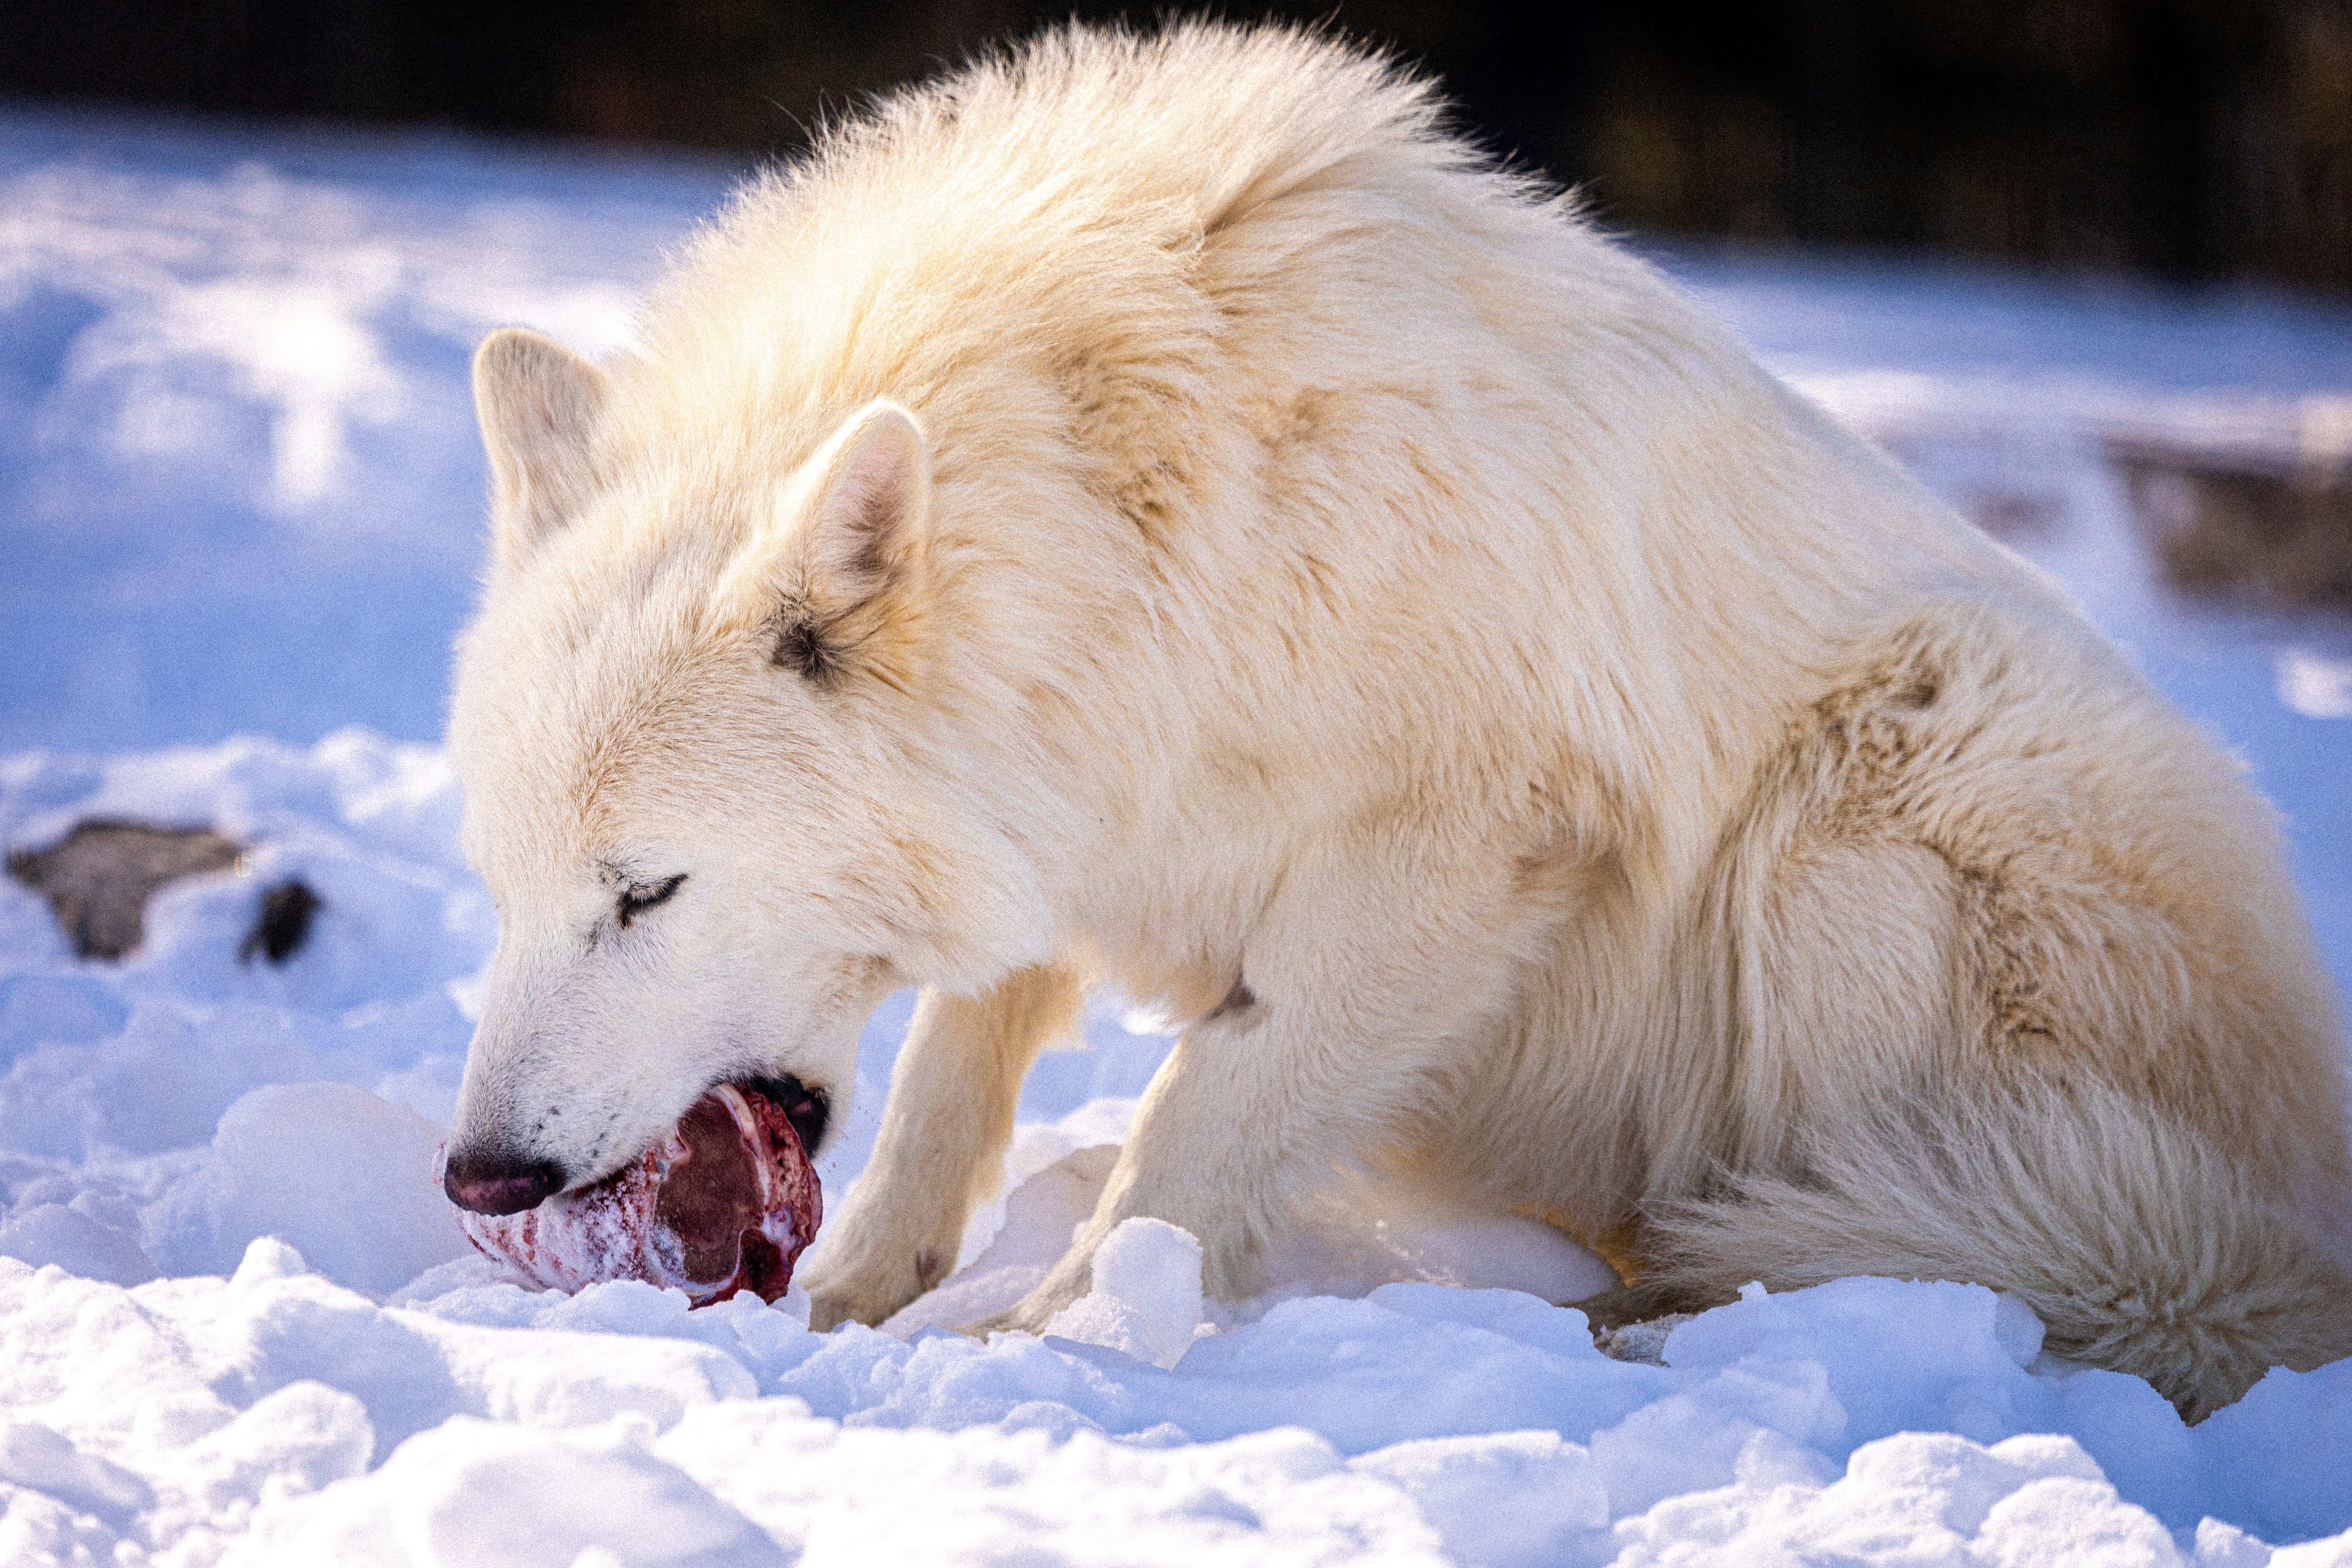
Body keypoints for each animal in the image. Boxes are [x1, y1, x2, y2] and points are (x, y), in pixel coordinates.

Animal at [439, 22, 2352, 1418]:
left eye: (648, 890)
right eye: (506, 893)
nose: (480, 1176)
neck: (1159, 518)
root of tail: (2302, 1205)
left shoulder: (1461, 852)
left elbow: (1191, 1125)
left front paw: (1059, 1347)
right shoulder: (1070, 815)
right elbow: (942, 1083)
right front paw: (860, 1303)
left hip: (1868, 799)